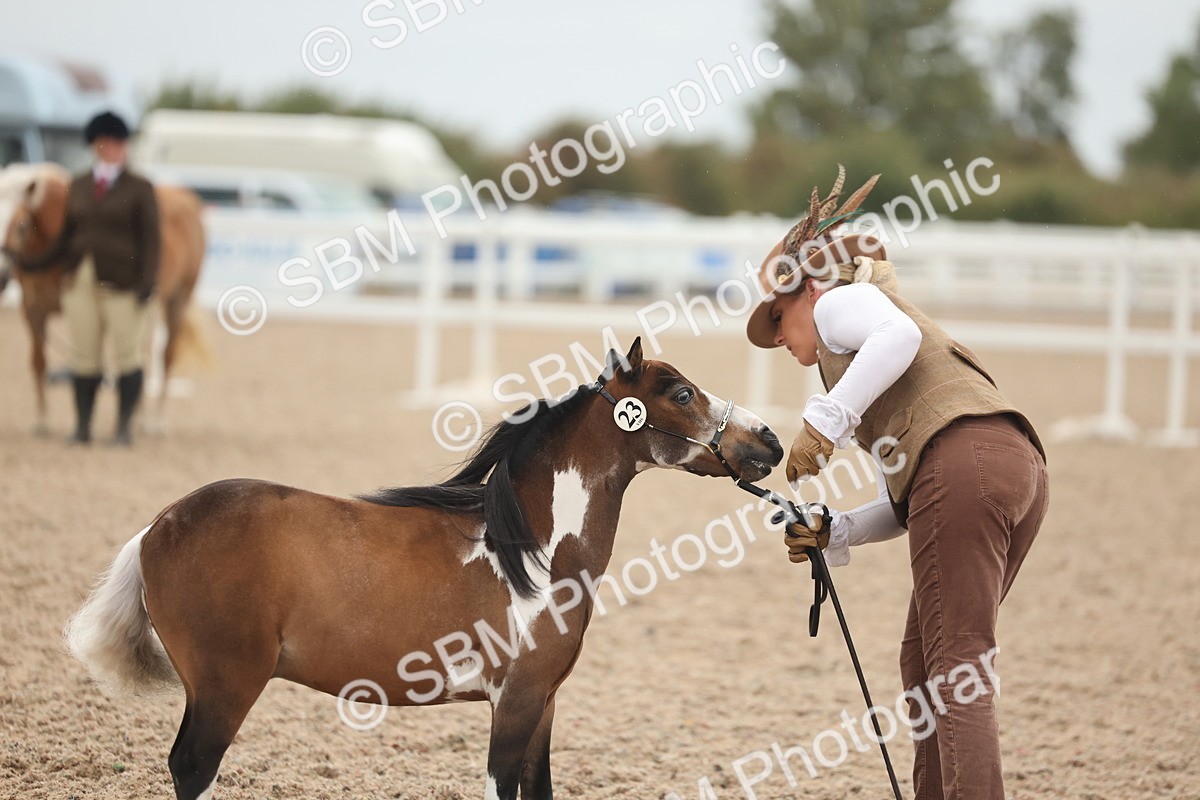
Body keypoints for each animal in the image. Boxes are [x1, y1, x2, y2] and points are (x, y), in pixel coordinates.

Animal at [0, 162, 208, 434]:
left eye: (22, 224)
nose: (1, 276)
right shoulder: (33, 309)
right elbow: (39, 362)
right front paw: (42, 422)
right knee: (141, 356)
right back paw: (137, 418)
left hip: (178, 300)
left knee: (164, 356)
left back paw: (155, 422)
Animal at [63, 338, 784, 800]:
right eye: (683, 393)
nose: (769, 441)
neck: (531, 550)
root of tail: (160, 525)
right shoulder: (515, 699)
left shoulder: (544, 701)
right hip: (225, 686)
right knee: (192, 769)